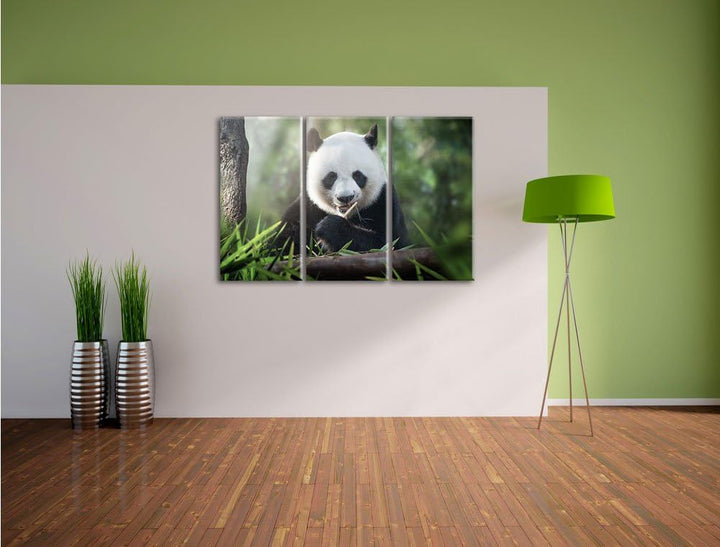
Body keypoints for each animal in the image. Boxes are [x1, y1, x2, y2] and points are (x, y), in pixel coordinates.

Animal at [278, 124, 409, 253]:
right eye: (331, 176)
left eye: (357, 175)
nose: (345, 197)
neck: (347, 214)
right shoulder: (308, 206)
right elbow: (284, 239)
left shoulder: (382, 201)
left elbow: (386, 243)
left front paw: (329, 228)